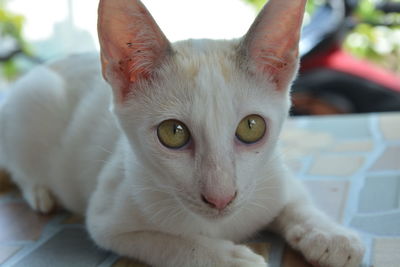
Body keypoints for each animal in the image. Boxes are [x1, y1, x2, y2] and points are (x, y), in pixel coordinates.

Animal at [0, 0, 364, 266]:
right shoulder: (108, 220)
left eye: (252, 127)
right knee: (20, 167)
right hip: (34, 96)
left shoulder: (274, 175)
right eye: (173, 133)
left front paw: (329, 235)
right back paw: (40, 192)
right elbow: (170, 243)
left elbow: (296, 201)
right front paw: (227, 258)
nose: (221, 198)